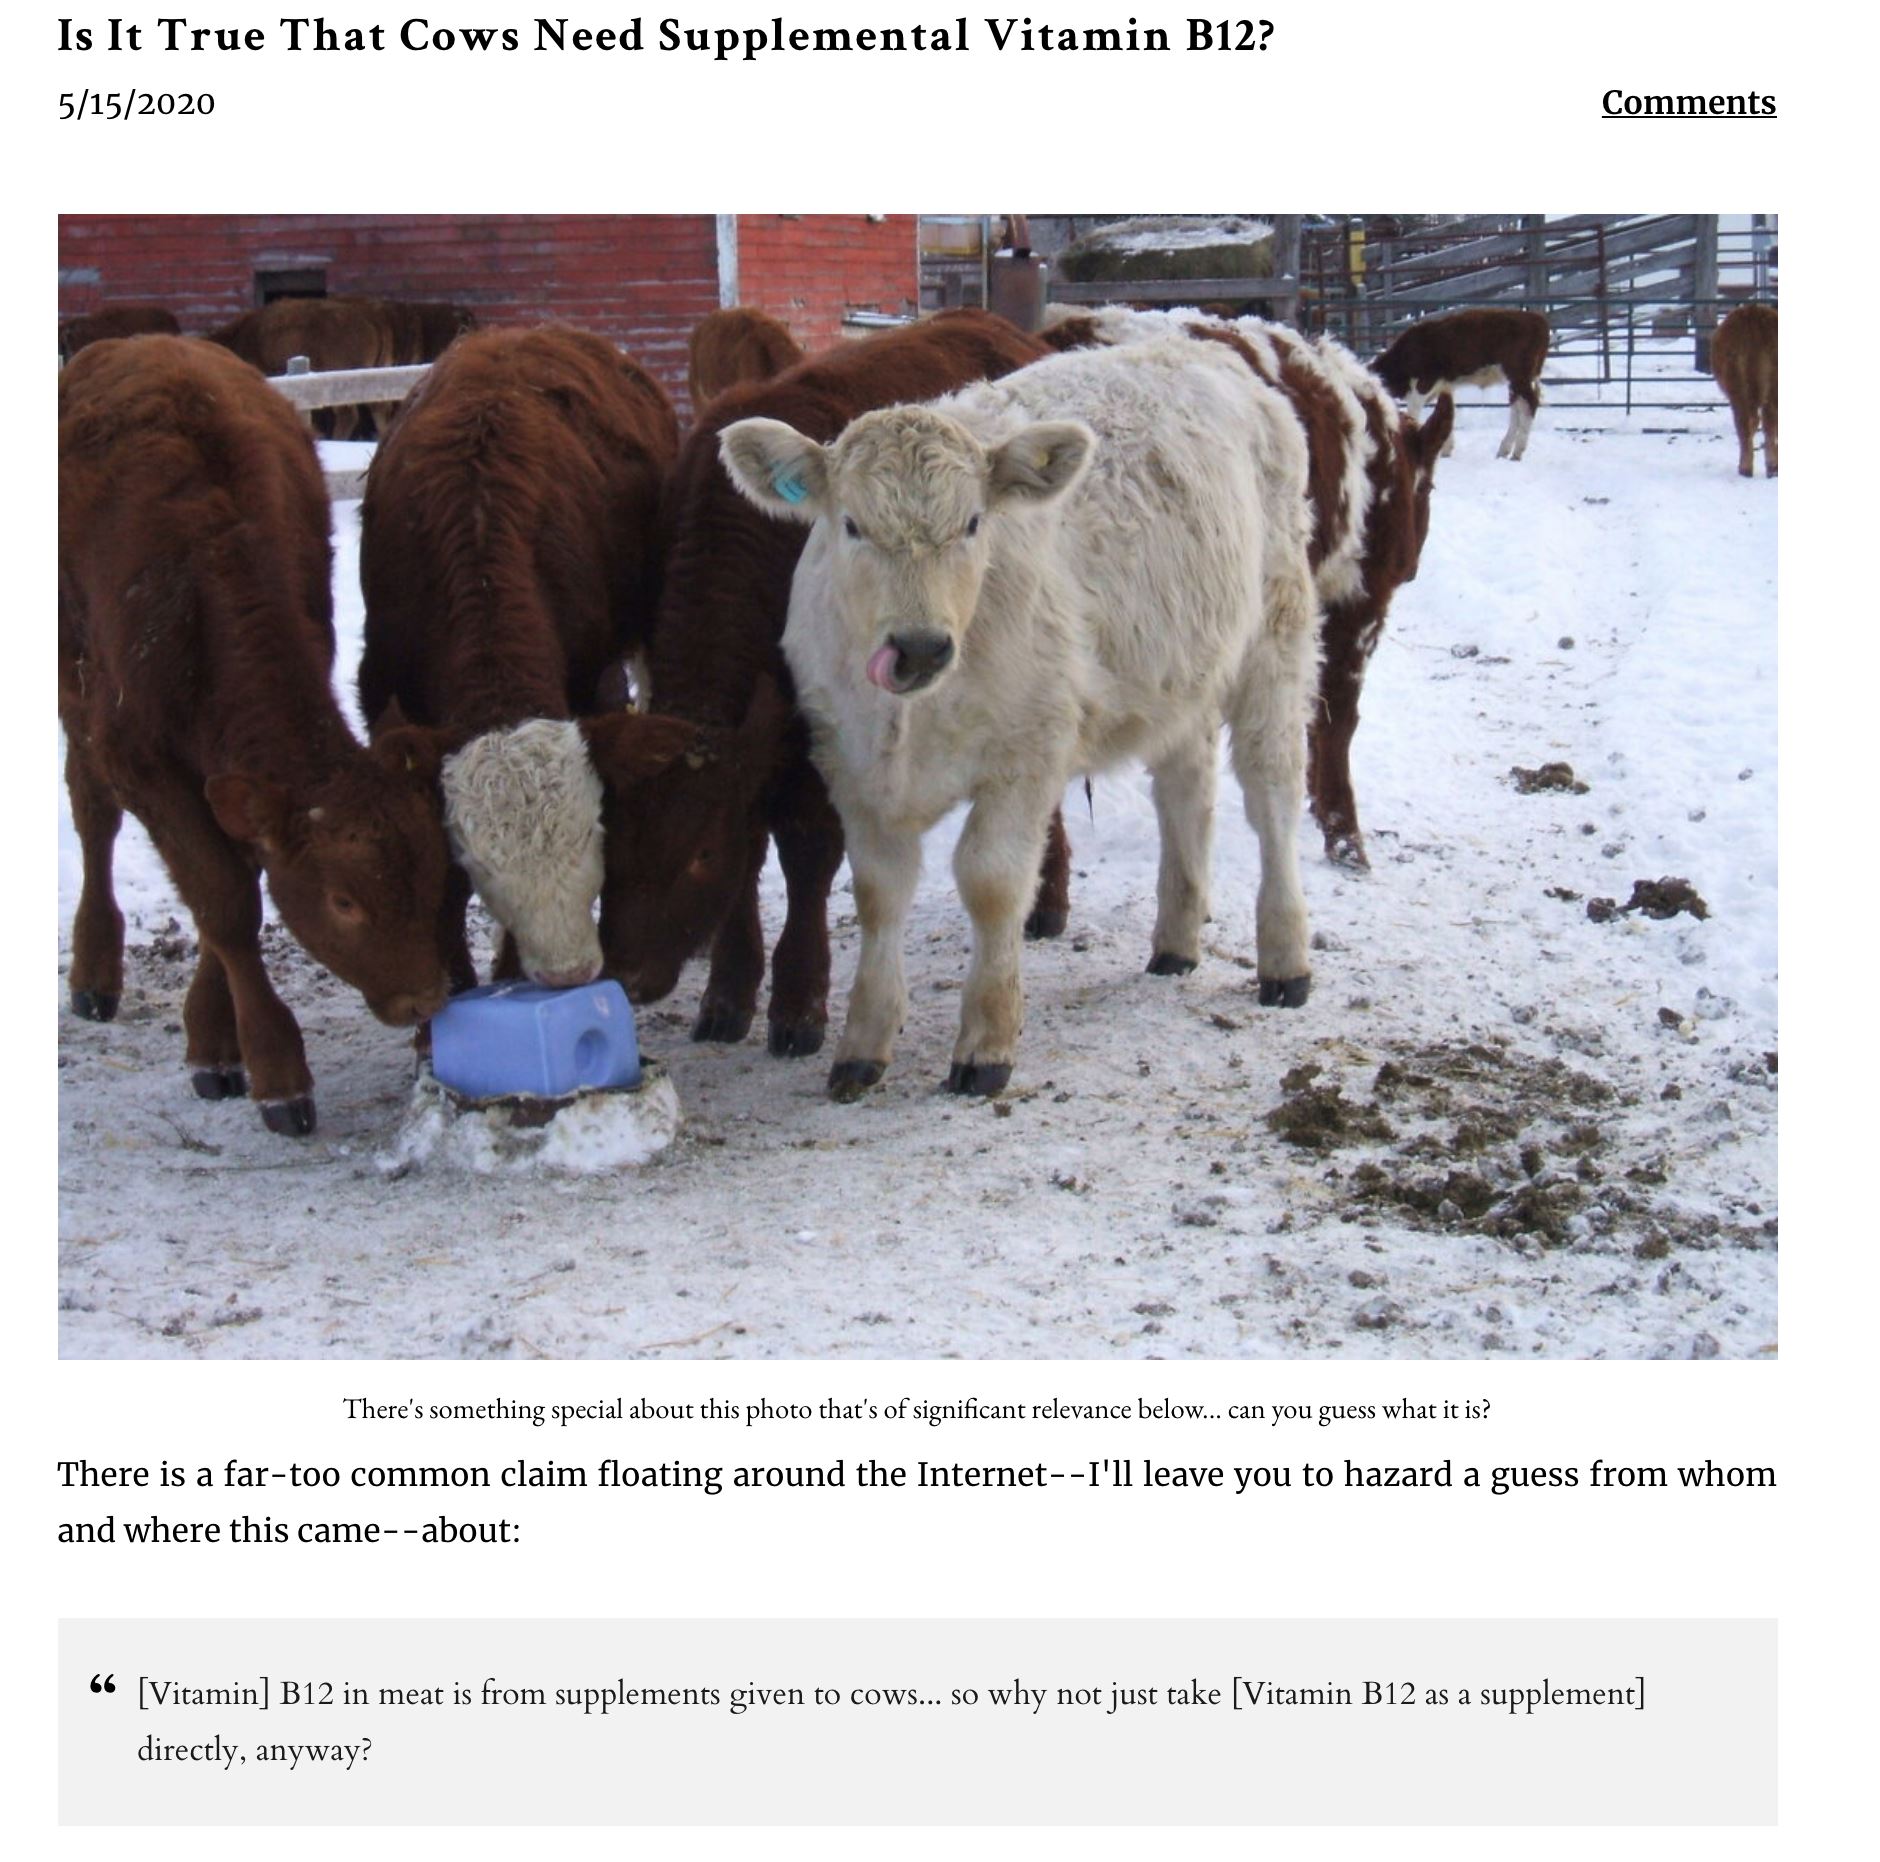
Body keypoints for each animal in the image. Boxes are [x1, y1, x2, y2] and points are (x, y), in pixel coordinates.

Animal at [59, 337, 454, 1136]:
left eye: (433, 872)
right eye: (343, 902)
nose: (426, 1000)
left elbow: (236, 872)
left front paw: (215, 1038)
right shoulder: (138, 756)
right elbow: (224, 902)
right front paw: (272, 1067)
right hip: (70, 684)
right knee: (93, 816)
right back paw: (93, 973)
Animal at [591, 309, 1065, 1064]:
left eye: (697, 855)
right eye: (607, 845)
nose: (627, 977)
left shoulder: (822, 735)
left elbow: (806, 853)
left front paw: (798, 1001)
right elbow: (751, 852)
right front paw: (728, 992)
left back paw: (1048, 902)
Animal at [721, 336, 1320, 1100]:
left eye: (974, 523)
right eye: (851, 525)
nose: (919, 645)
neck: (910, 723)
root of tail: (1196, 343)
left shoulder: (1027, 754)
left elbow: (992, 882)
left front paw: (986, 1043)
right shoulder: (852, 767)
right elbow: (880, 894)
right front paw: (862, 1045)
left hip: (1276, 633)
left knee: (1273, 795)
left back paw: (1285, 960)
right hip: (1178, 670)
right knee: (1185, 792)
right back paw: (1176, 942)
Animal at [1371, 307, 1548, 461]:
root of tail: (1537, 318)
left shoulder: (1422, 386)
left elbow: (1413, 413)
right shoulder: (1444, 386)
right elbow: (1446, 410)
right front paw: (1446, 449)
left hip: (1519, 376)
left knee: (1529, 404)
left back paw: (1517, 451)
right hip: (1516, 381)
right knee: (1517, 408)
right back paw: (1504, 450)